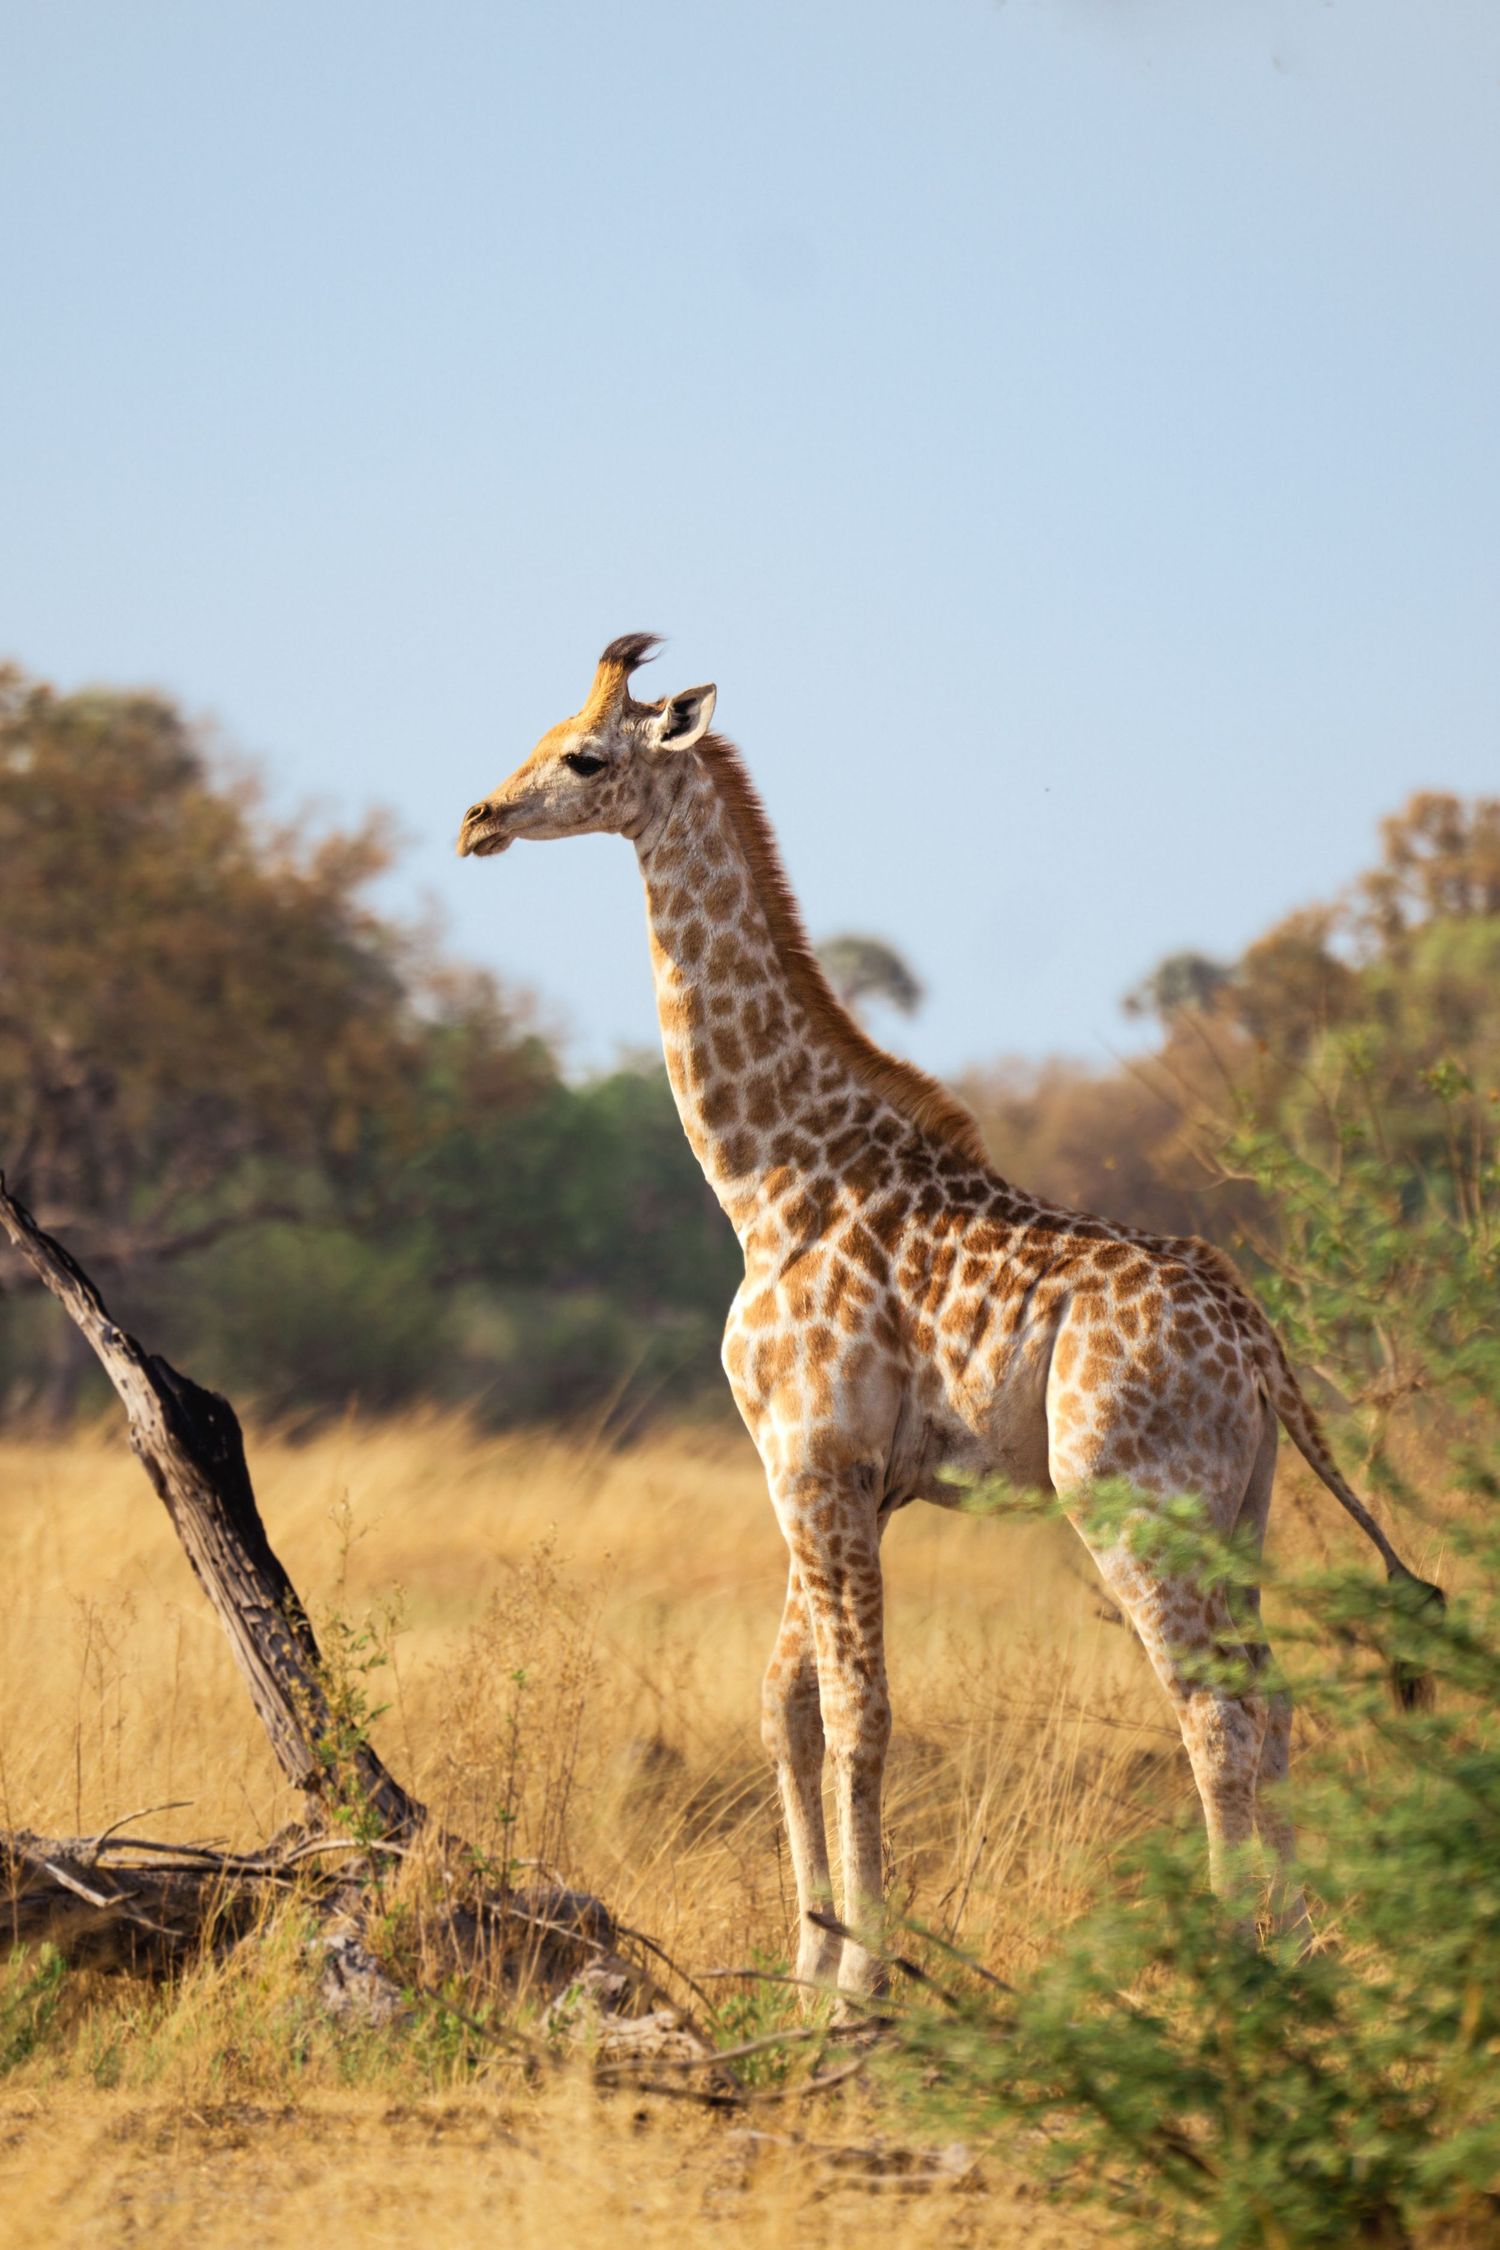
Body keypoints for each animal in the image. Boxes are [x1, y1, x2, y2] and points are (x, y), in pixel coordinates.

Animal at [458, 632, 1439, 1997]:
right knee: (1274, 1697)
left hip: (1130, 1497)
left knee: (1211, 1714)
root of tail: (1261, 1348)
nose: (477, 820)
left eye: (586, 757)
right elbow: (787, 1707)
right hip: (1239, 1507)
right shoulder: (831, 1477)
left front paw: (867, 1982)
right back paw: (1299, 1955)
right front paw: (811, 1969)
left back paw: (1225, 1962)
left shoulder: (819, 1463)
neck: (768, 1179)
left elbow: (859, 1716)